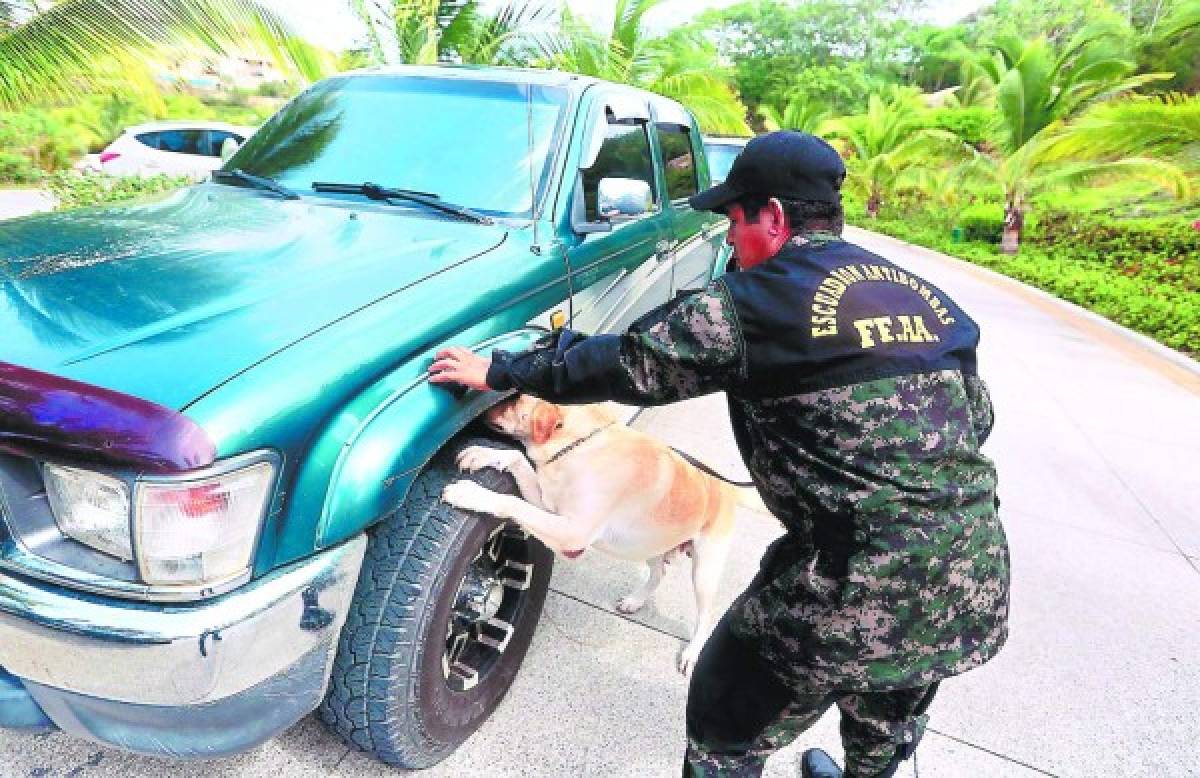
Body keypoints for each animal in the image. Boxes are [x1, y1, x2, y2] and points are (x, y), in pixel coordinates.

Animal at [446, 396, 763, 672]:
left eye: (515, 399)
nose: (481, 408)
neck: (580, 444)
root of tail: (723, 485)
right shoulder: (550, 507)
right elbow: (516, 458)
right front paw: (484, 454)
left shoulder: (572, 533)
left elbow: (511, 502)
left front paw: (471, 493)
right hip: (648, 545)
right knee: (658, 573)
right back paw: (636, 601)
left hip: (704, 571)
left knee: (706, 615)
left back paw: (692, 652)